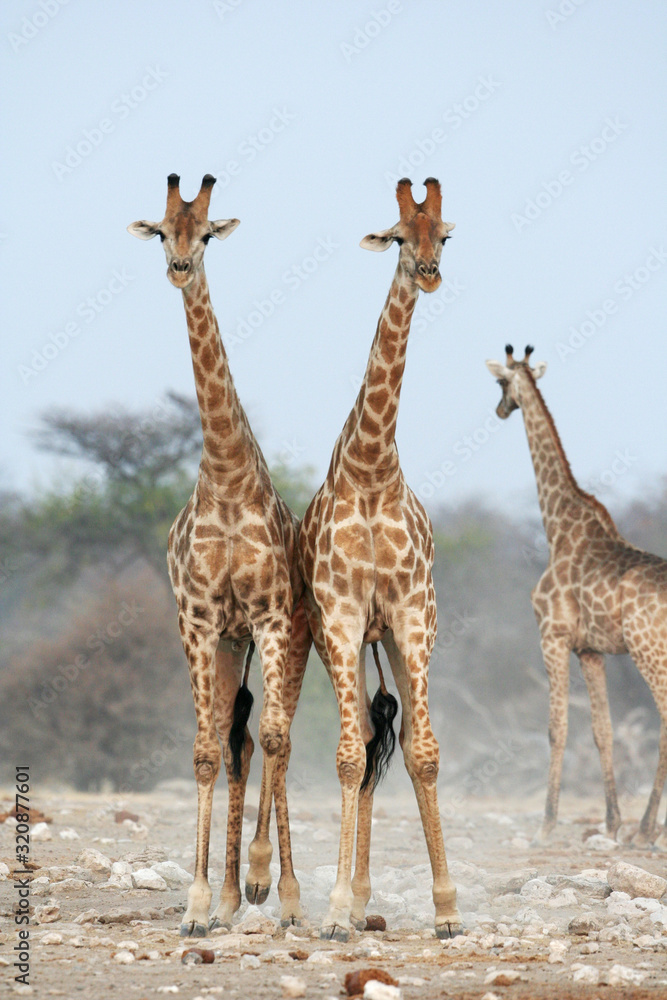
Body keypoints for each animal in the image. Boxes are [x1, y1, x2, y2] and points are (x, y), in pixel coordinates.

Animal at [486, 345, 667, 847]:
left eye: (500, 383)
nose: (501, 409)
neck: (557, 525)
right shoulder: (590, 649)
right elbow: (602, 728)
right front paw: (611, 820)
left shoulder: (552, 635)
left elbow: (556, 728)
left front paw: (546, 823)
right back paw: (640, 827)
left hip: (648, 650)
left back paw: (647, 829)